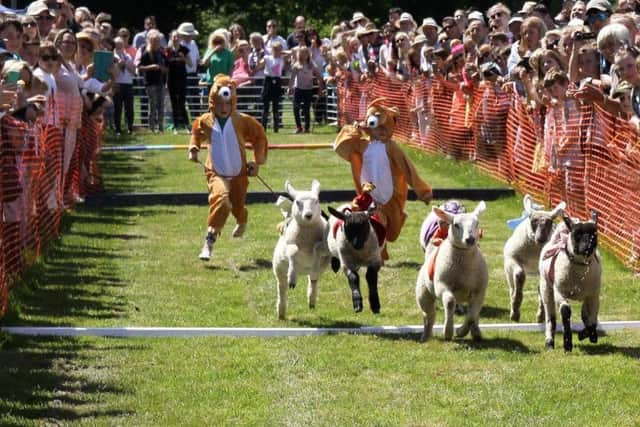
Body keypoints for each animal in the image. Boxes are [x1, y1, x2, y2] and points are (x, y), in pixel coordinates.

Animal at [272, 179, 330, 320]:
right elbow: (293, 251)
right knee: (282, 289)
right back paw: (281, 311)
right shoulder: (288, 247)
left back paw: (312, 300)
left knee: (313, 281)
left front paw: (315, 264)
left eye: (317, 201)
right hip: (279, 269)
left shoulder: (326, 248)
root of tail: (303, 271)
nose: (308, 215)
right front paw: (292, 278)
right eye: (297, 202)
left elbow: (317, 248)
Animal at [536, 209, 604, 352]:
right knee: (551, 318)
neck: (580, 267)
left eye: (594, 233)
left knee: (585, 315)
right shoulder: (559, 292)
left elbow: (593, 320)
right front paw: (567, 343)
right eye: (576, 233)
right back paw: (549, 342)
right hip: (546, 289)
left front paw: (587, 335)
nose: (588, 246)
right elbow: (565, 313)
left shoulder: (593, 295)